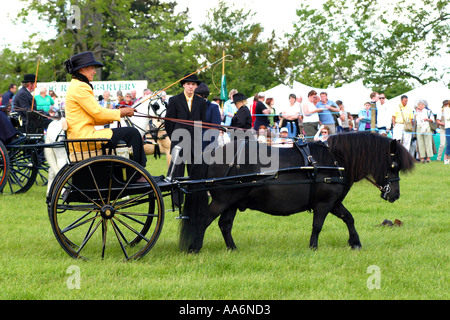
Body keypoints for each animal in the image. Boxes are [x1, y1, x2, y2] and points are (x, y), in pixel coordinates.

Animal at [179, 132, 414, 252]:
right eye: (394, 165)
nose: (394, 195)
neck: (335, 160)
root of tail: (211, 154)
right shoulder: (323, 204)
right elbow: (318, 225)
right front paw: (313, 247)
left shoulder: (334, 203)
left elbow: (349, 218)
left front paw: (355, 242)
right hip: (223, 200)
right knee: (203, 220)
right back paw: (193, 248)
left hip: (233, 202)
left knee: (224, 225)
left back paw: (232, 249)